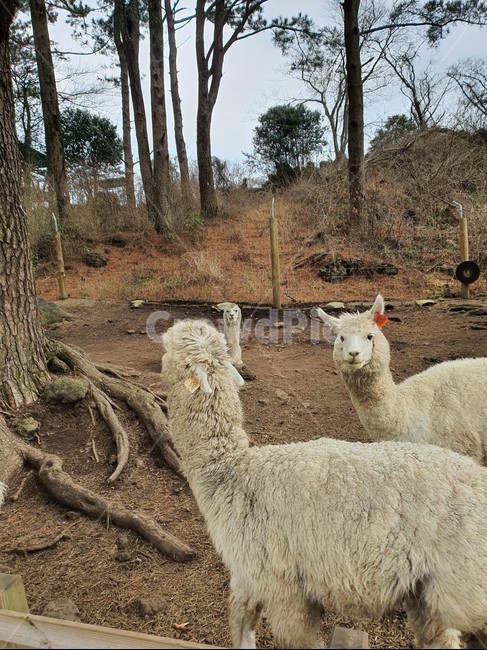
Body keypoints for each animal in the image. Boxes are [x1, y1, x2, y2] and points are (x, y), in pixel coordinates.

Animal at [161, 318, 487, 650]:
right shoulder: (248, 577)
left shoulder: (284, 589)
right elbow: (242, 629)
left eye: (165, 345)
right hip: (429, 594)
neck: (235, 473)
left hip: (465, 587)